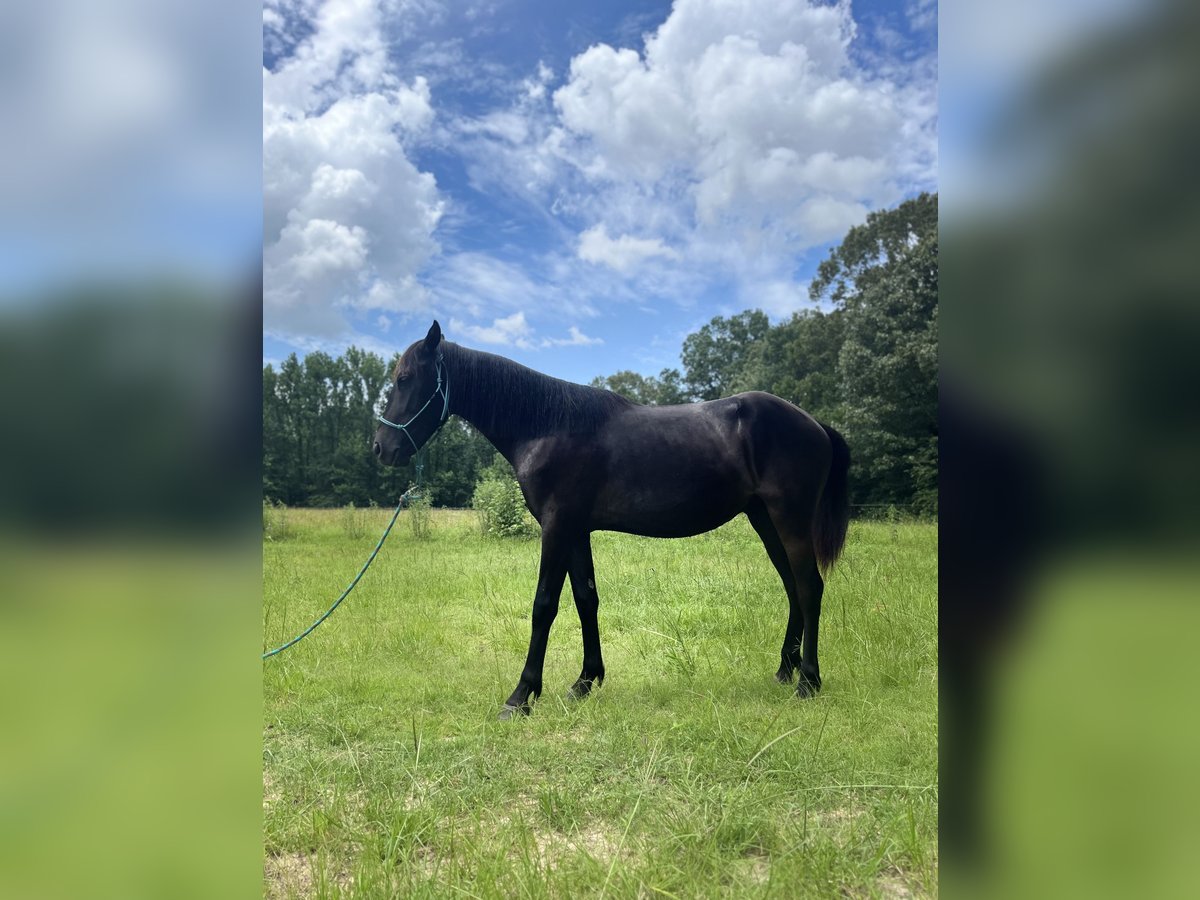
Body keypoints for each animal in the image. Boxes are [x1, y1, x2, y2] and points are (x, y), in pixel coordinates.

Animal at [369, 321, 849, 724]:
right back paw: (785, 670)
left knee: (809, 587)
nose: (380, 448)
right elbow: (586, 600)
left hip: (789, 519)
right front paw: (584, 681)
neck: (546, 425)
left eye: (405, 378)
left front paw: (521, 696)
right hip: (765, 521)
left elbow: (544, 606)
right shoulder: (577, 531)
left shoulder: (557, 528)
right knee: (793, 588)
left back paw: (809, 681)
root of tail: (815, 424)